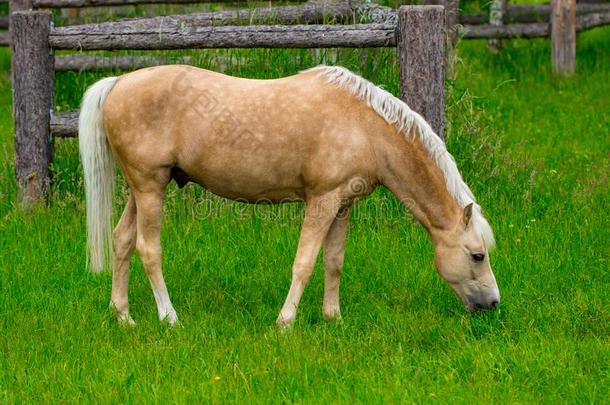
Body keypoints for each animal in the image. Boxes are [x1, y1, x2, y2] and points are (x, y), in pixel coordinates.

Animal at [79, 65, 498, 326]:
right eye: (477, 255)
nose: (493, 303)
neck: (366, 127)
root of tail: (118, 81)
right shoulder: (322, 201)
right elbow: (305, 262)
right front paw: (285, 322)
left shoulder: (343, 206)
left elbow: (333, 262)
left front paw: (333, 318)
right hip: (149, 187)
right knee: (148, 249)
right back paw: (169, 318)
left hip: (143, 188)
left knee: (122, 240)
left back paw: (124, 317)